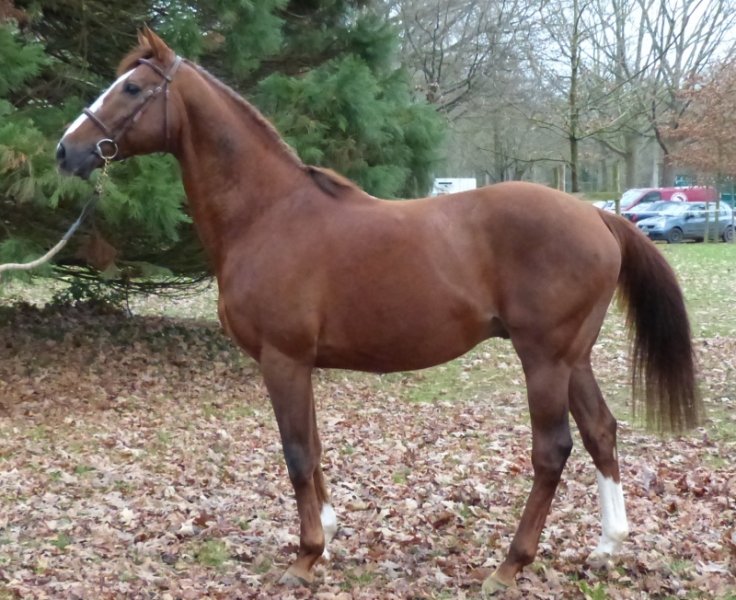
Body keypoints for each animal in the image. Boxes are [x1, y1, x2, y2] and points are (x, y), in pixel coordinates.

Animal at [56, 28, 701, 596]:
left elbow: (296, 452)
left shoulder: (282, 360)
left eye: (132, 89)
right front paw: (328, 533)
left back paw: (509, 566)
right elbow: (313, 446)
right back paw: (607, 545)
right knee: (601, 433)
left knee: (552, 451)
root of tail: (597, 215)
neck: (269, 214)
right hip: (574, 358)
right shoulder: (300, 365)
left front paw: (306, 557)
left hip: (543, 358)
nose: (67, 150)